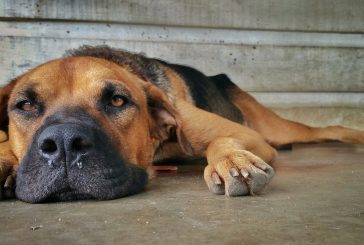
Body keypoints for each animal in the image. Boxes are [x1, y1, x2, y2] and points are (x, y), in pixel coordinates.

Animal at [0, 46, 364, 203]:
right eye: (26, 105)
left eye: (117, 100)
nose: (64, 144)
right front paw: (5, 160)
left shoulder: (248, 135)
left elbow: (222, 141)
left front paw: (232, 161)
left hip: (273, 128)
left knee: (330, 130)